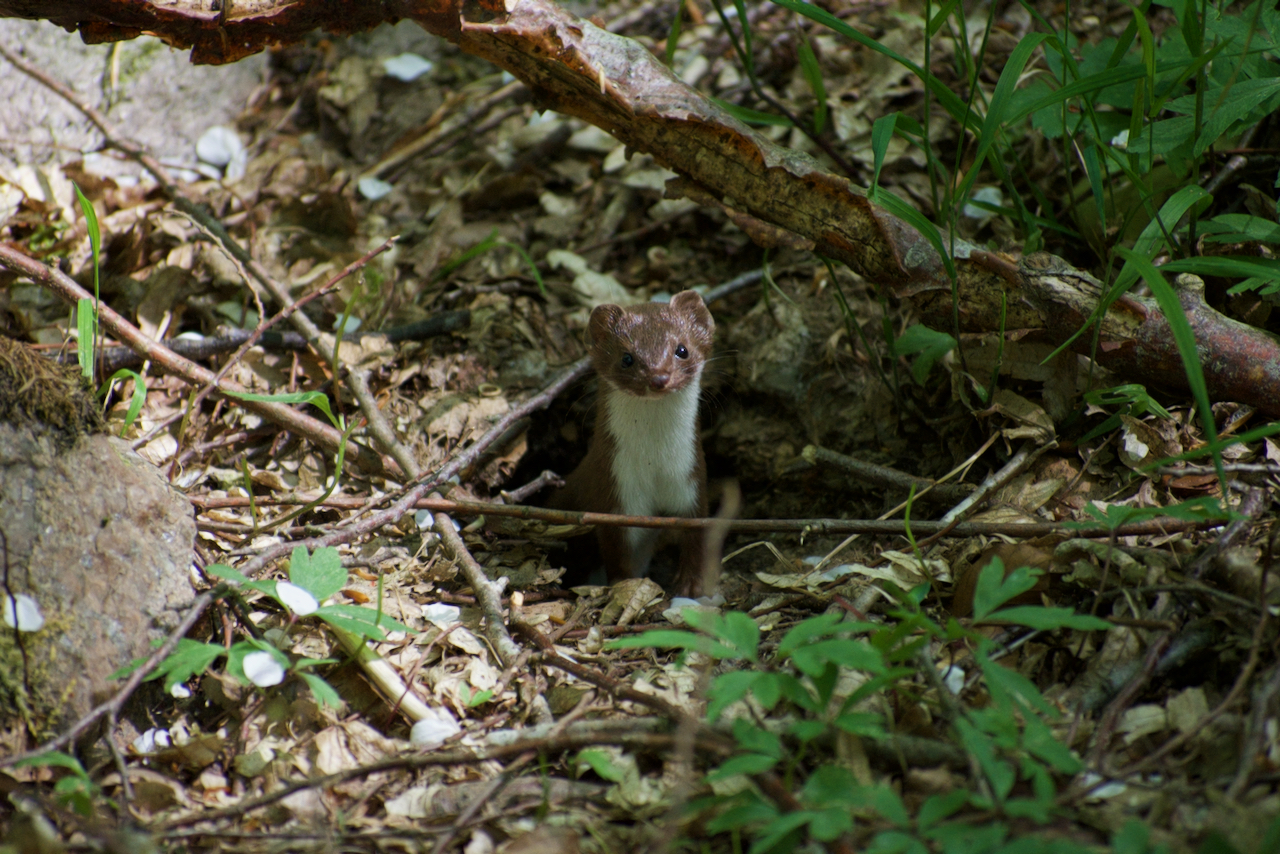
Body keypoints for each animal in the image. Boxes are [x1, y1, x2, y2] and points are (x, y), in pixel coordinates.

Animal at [552, 290, 716, 599]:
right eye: (626, 357)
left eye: (682, 349)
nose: (659, 378)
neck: (655, 463)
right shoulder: (614, 491)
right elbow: (616, 551)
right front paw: (624, 585)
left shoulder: (693, 481)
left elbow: (697, 536)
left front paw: (691, 584)